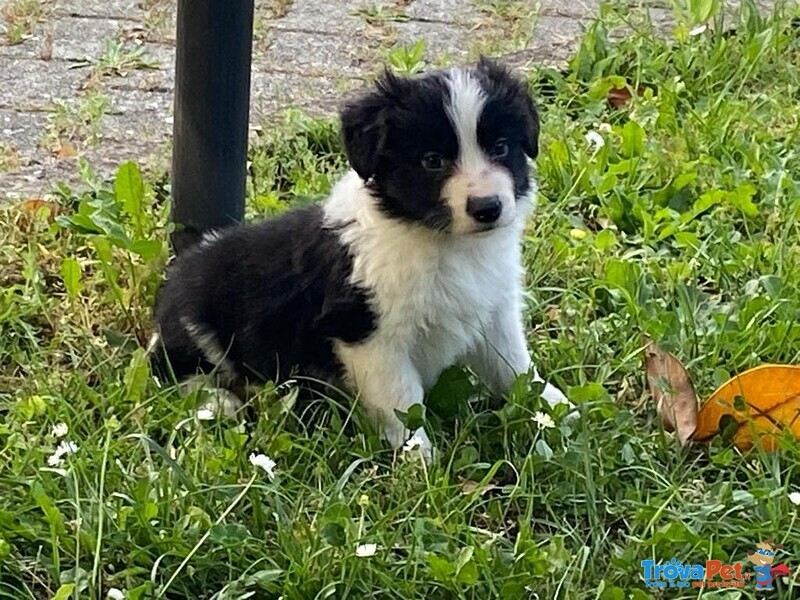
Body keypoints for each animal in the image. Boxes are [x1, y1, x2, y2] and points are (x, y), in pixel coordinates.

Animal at [152, 58, 568, 458]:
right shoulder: (370, 336)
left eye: (500, 147)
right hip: (199, 326)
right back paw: (219, 401)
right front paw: (420, 460)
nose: (487, 208)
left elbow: (514, 366)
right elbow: (402, 401)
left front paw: (556, 407)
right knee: (172, 370)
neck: (444, 243)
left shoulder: (493, 310)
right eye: (432, 160)